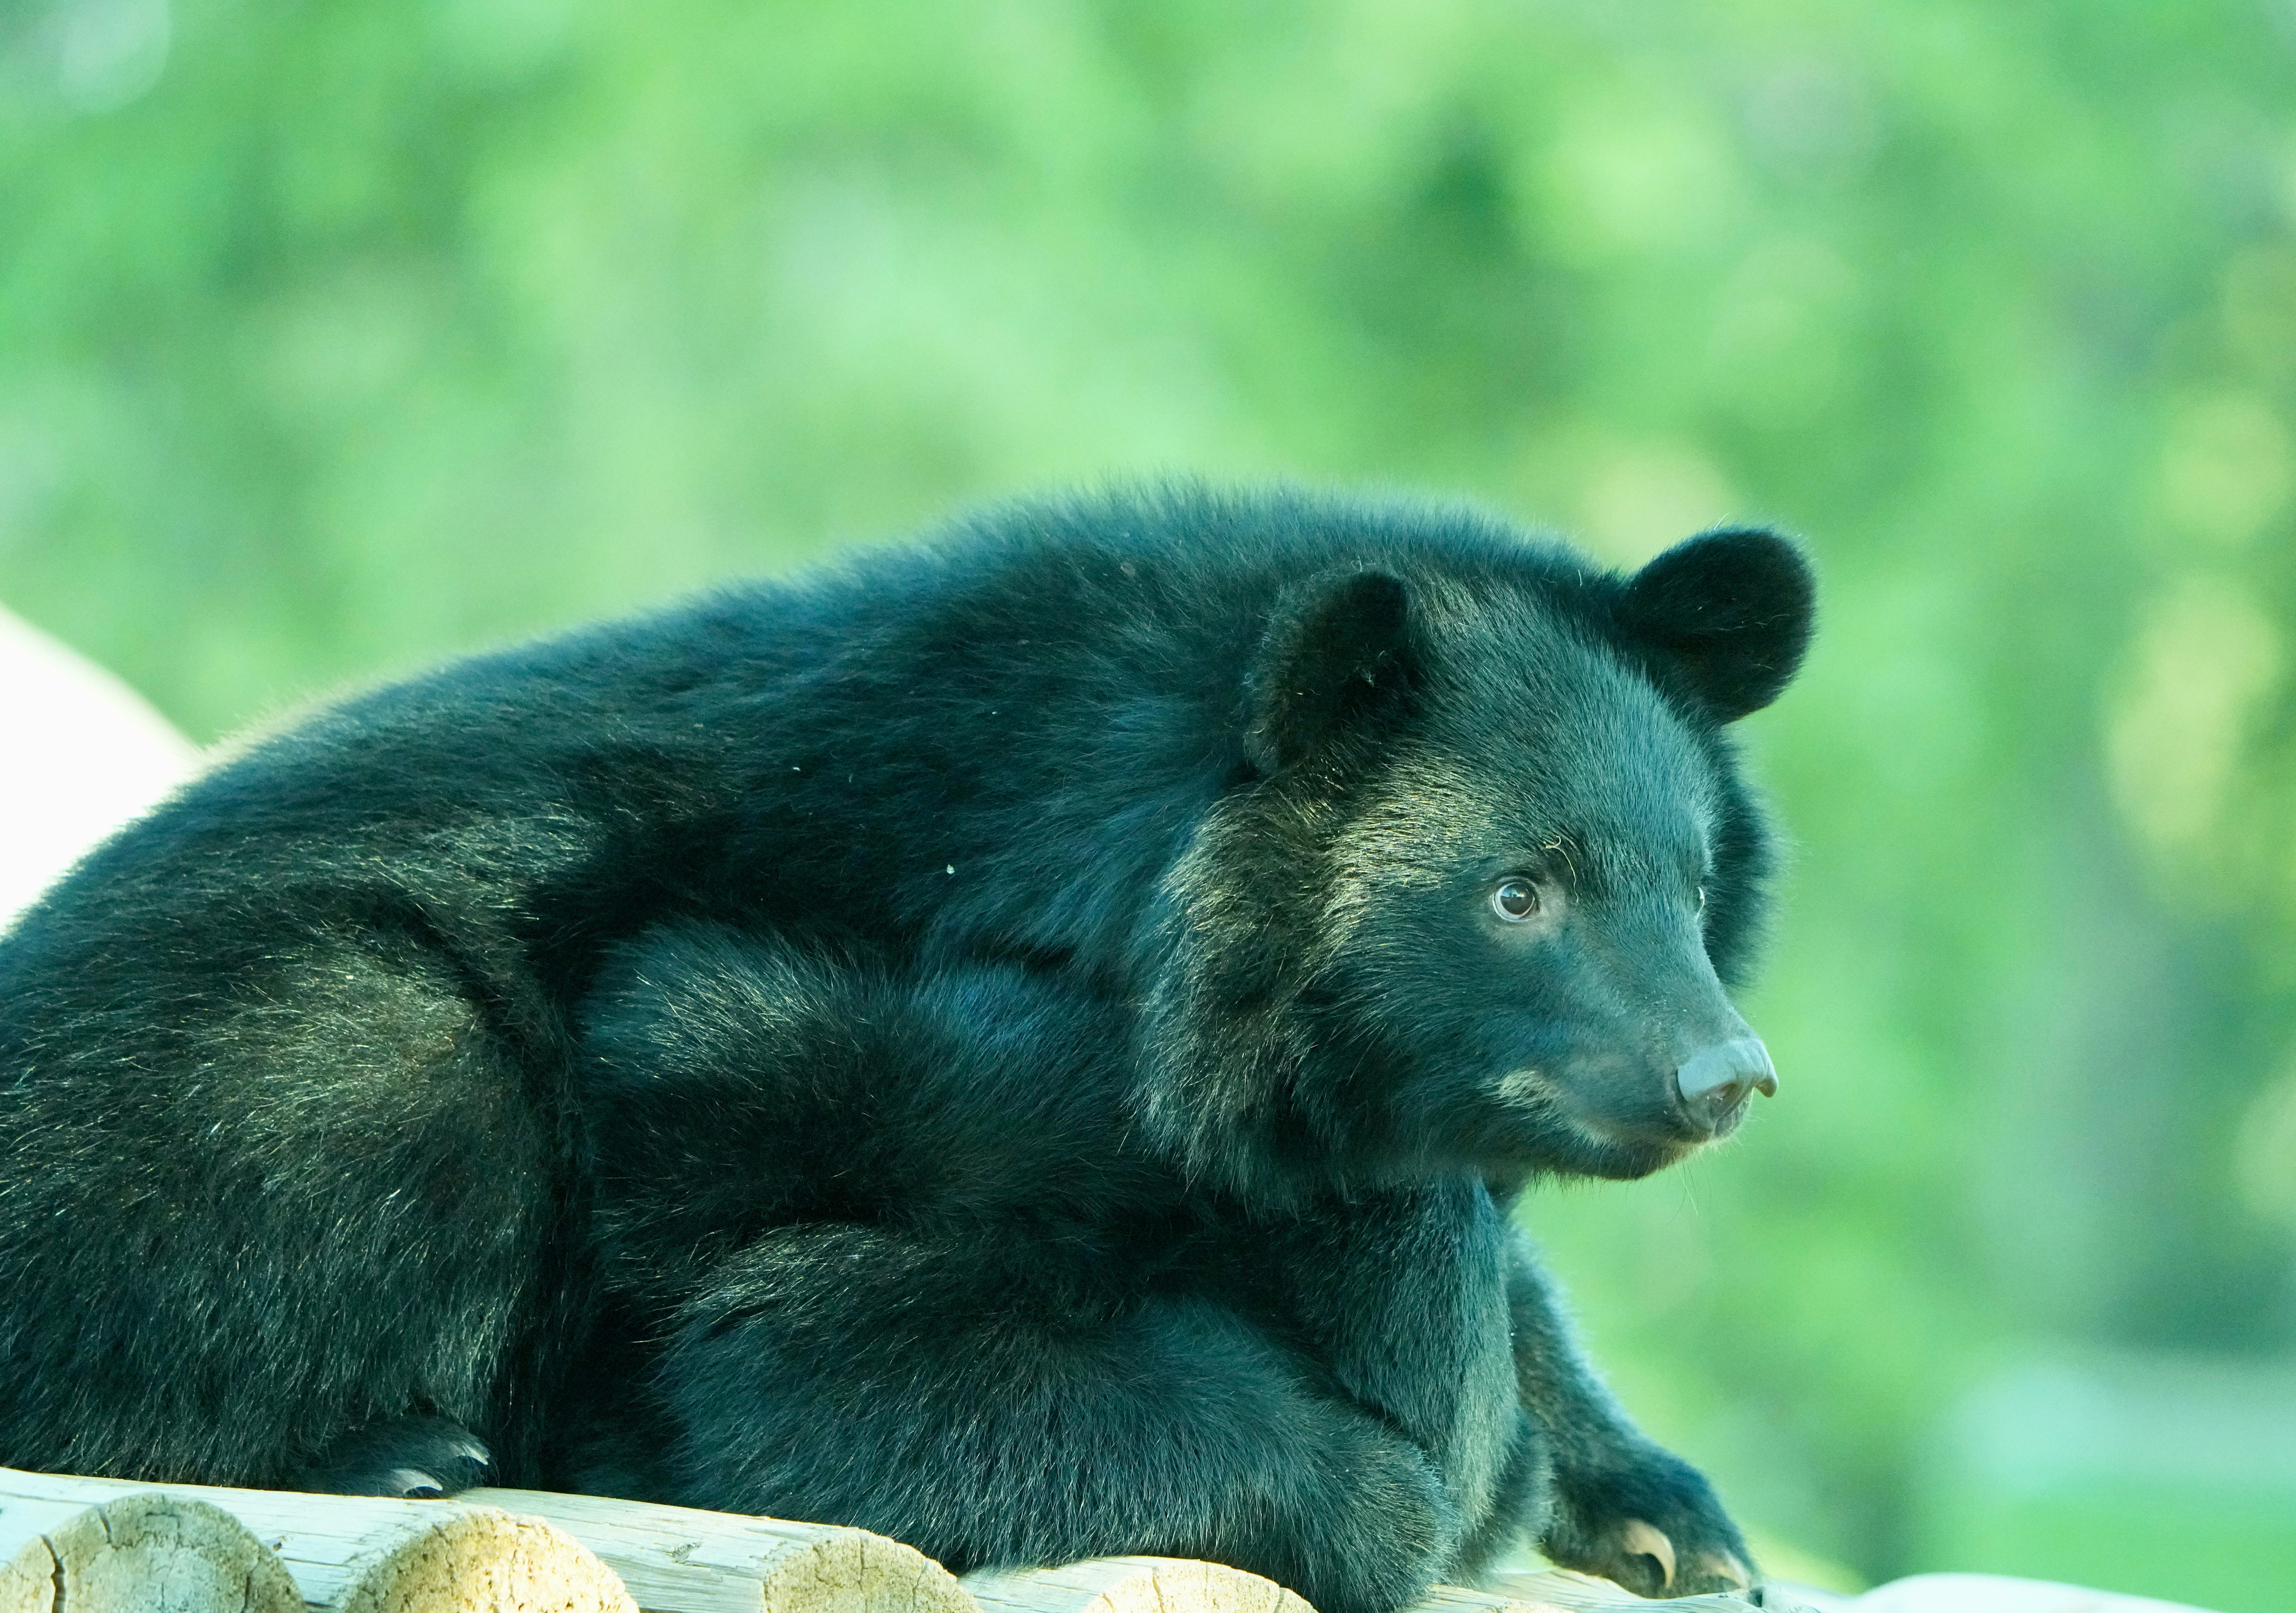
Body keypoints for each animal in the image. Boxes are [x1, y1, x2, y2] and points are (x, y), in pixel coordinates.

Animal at [0, 483, 1813, 1612]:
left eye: (1690, 880)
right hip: (316, 1046)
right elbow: (795, 1338)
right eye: (1518, 890)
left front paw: (1667, 1515)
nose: (1725, 1076)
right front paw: (1387, 1482)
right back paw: (398, 1451)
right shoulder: (824, 1056)